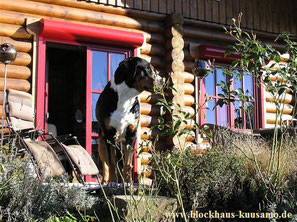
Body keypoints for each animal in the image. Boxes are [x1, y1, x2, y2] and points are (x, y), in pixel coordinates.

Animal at [95, 56, 162, 184]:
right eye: (148, 69)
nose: (163, 80)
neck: (126, 98)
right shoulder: (109, 135)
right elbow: (111, 162)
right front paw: (112, 181)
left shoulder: (131, 135)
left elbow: (127, 162)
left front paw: (127, 182)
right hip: (102, 141)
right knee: (105, 163)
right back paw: (105, 180)